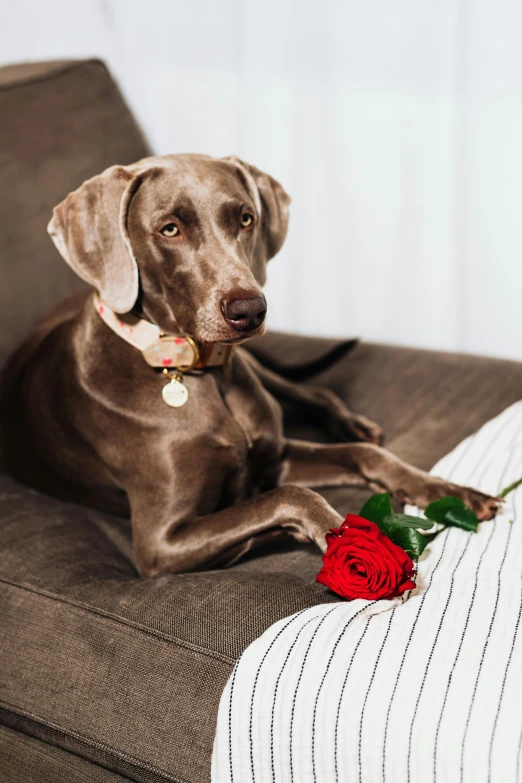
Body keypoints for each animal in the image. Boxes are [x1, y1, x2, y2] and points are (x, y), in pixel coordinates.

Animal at [0, 156, 498, 580]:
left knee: (316, 394)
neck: (193, 373)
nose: (250, 310)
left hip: (258, 364)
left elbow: (364, 455)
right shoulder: (161, 544)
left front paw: (449, 492)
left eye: (245, 219)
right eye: (169, 229)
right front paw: (334, 536)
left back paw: (353, 423)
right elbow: (285, 496)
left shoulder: (275, 455)